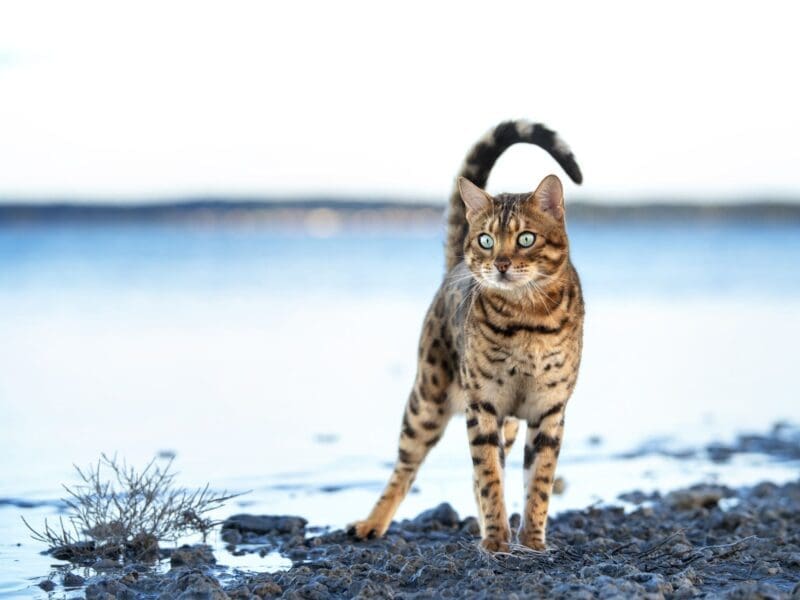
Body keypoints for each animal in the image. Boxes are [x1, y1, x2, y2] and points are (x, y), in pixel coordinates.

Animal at [346, 118, 584, 552]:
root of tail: (453, 266)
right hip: (425, 400)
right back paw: (373, 522)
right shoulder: (483, 403)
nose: (501, 263)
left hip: (506, 422)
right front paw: (496, 542)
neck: (527, 321)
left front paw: (532, 542)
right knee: (405, 468)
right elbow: (489, 477)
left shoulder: (549, 407)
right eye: (486, 240)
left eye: (526, 238)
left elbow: (538, 481)